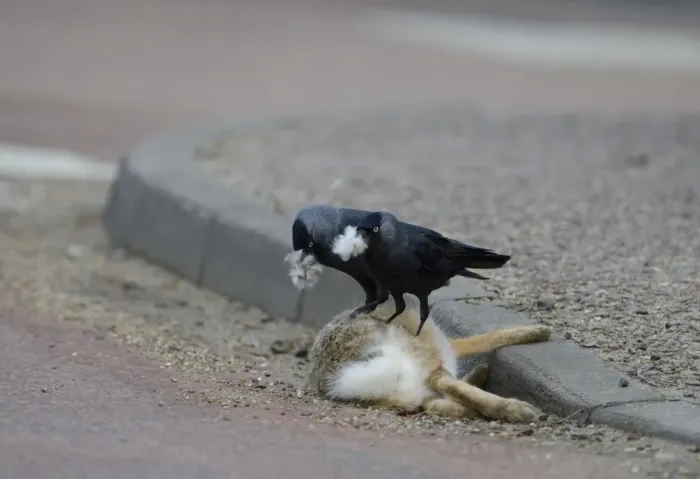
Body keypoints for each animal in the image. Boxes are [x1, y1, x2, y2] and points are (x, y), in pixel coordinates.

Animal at [306, 303, 551, 423]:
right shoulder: (445, 345)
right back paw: (520, 410)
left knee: (433, 403)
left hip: (403, 393)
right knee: (444, 382)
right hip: (424, 355)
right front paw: (539, 332)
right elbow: (481, 339)